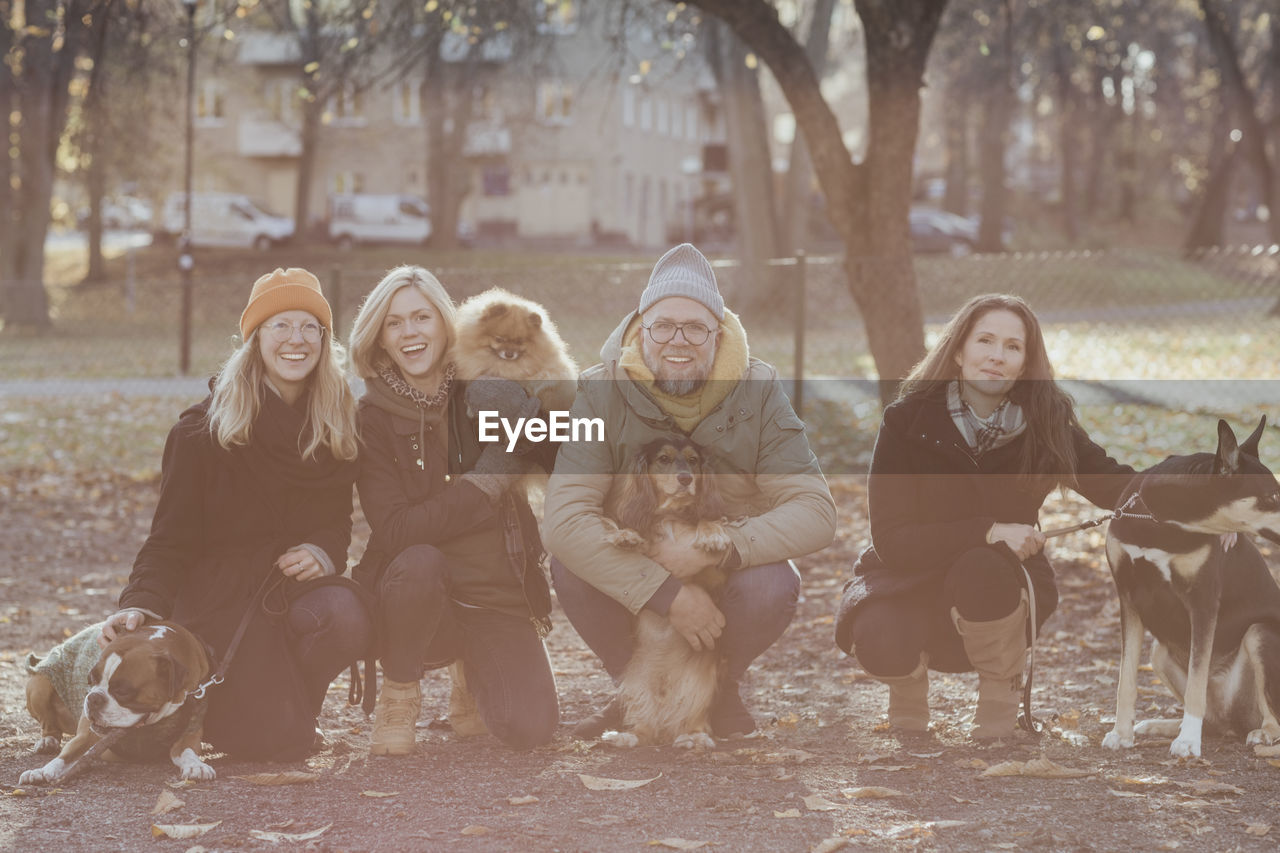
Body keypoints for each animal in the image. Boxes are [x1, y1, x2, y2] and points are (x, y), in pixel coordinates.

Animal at [1100, 414, 1280, 753]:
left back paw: (1260, 732)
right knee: (1212, 720)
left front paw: (1187, 742)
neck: (1164, 519)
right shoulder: (1127, 598)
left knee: (1272, 718)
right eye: (1274, 496)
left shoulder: (1203, 602)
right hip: (1159, 652)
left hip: (1260, 633)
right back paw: (1161, 725)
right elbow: (1125, 680)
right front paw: (1121, 732)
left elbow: (1197, 681)